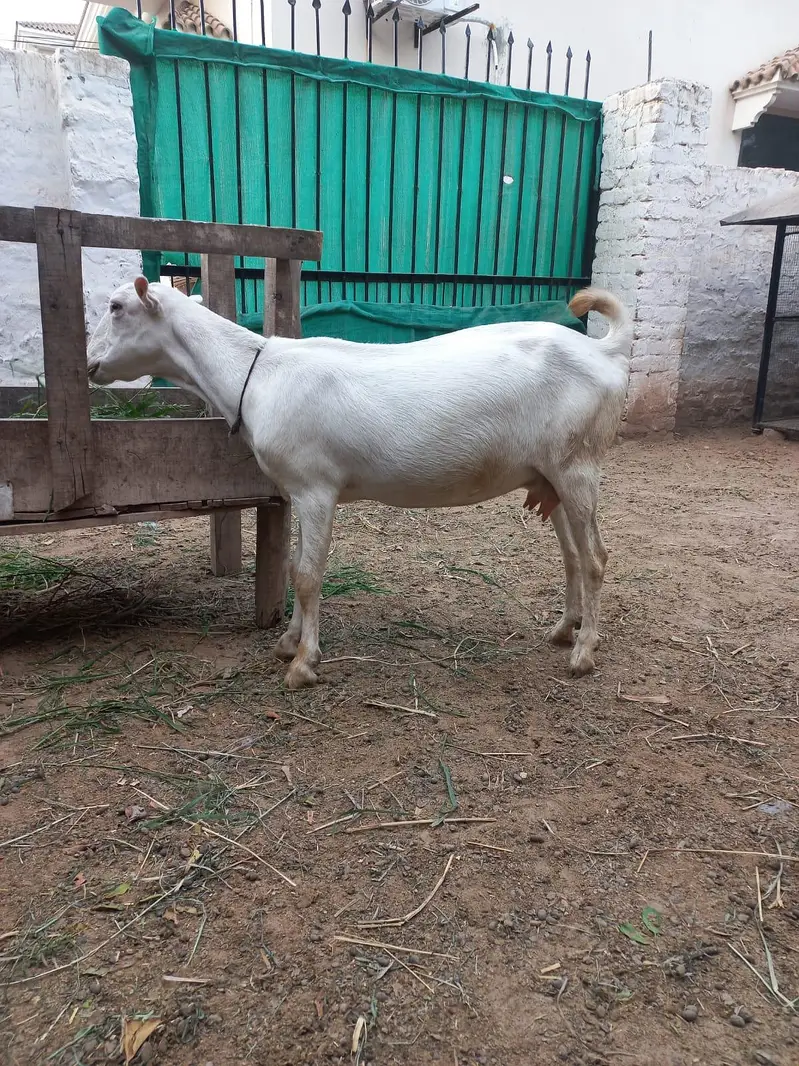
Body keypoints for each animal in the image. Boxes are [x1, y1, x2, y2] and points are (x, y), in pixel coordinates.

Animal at [87, 280, 632, 690]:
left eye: (116, 307)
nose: (90, 364)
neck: (256, 374)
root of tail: (603, 349)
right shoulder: (298, 491)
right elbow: (293, 567)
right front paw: (287, 643)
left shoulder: (316, 489)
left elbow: (308, 575)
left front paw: (303, 664)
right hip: (550, 474)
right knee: (573, 555)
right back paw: (563, 630)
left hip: (579, 465)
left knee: (595, 557)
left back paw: (583, 653)